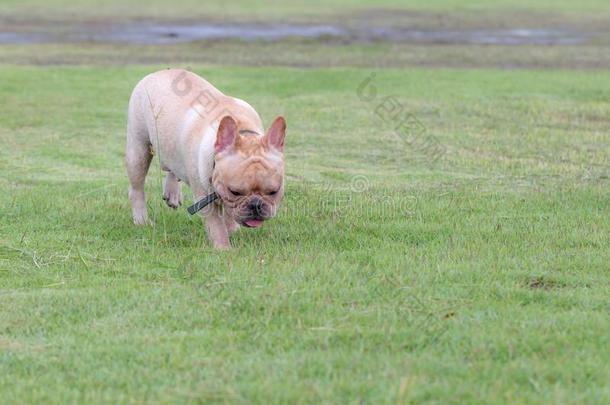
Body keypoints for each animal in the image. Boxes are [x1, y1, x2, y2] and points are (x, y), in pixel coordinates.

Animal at [125, 68, 284, 248]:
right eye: (234, 192)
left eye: (274, 191)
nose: (256, 205)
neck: (242, 130)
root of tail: (160, 72)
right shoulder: (204, 198)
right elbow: (215, 224)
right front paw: (223, 247)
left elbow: (228, 213)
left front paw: (231, 228)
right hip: (138, 149)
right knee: (137, 188)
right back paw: (142, 220)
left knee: (173, 166)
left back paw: (172, 191)